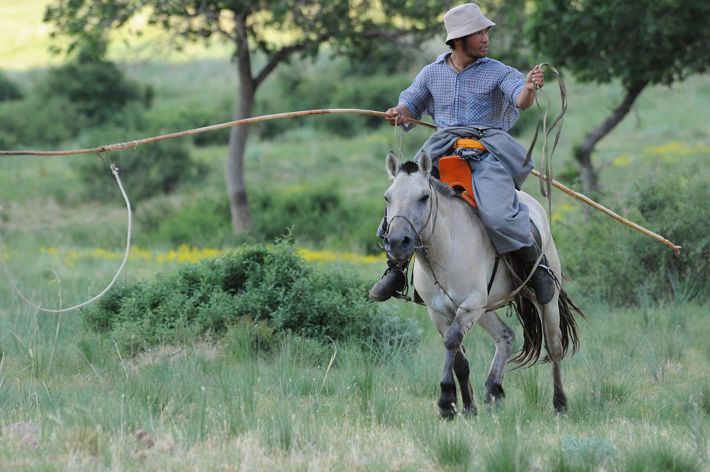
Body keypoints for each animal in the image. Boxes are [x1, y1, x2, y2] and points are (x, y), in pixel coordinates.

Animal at [381, 151, 583, 418]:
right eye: (387, 197)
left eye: (424, 197)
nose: (396, 242)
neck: (446, 249)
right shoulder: (439, 311)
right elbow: (459, 359)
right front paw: (467, 408)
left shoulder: (469, 305)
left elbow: (452, 340)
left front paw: (446, 401)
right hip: (485, 310)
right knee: (505, 336)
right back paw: (493, 391)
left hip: (544, 302)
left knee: (554, 347)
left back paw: (560, 404)